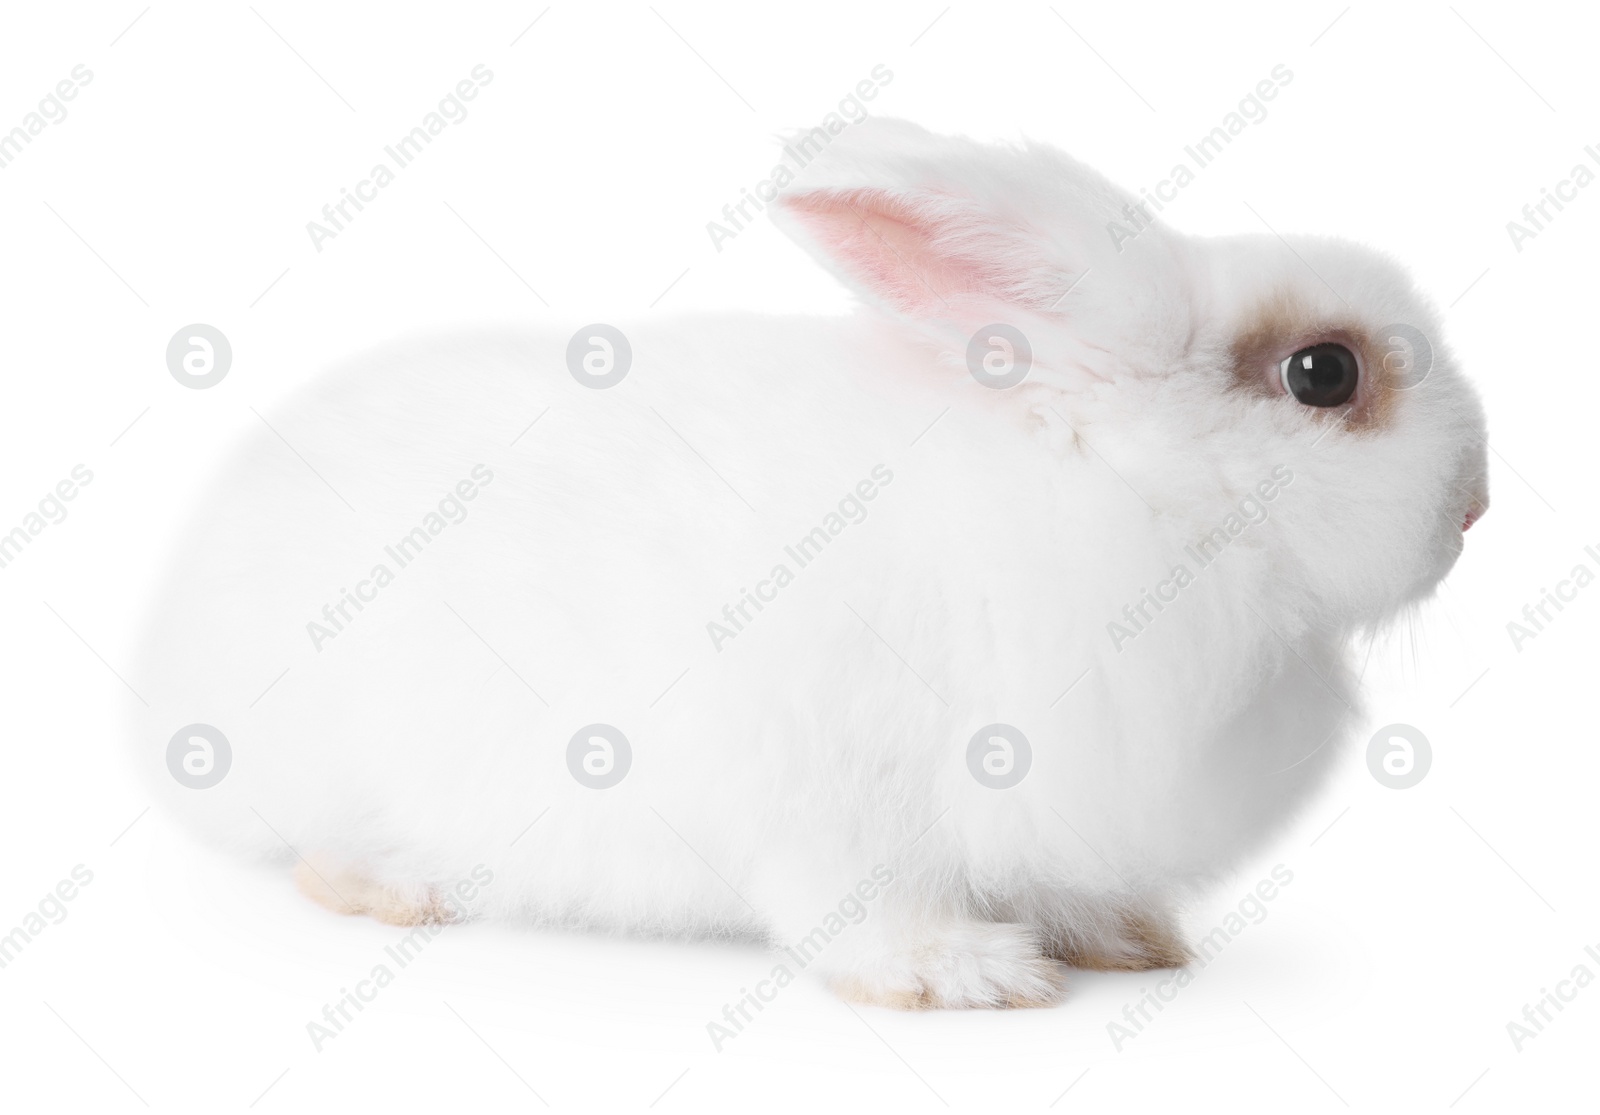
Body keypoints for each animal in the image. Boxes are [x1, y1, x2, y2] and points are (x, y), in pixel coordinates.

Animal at [131, 115, 1491, 1011]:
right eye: (1324, 372)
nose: (1477, 506)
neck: (1139, 503)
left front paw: (1131, 942)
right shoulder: (841, 803)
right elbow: (861, 912)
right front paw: (966, 975)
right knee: (321, 854)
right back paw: (404, 894)